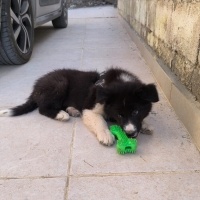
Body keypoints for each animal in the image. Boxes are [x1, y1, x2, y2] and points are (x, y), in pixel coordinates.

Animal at [0, 68, 159, 145]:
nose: (130, 134)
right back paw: (61, 114)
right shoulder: (90, 109)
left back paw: (72, 110)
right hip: (60, 82)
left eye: (136, 111)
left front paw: (146, 125)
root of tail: (35, 89)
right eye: (119, 114)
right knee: (43, 108)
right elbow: (99, 121)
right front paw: (105, 135)